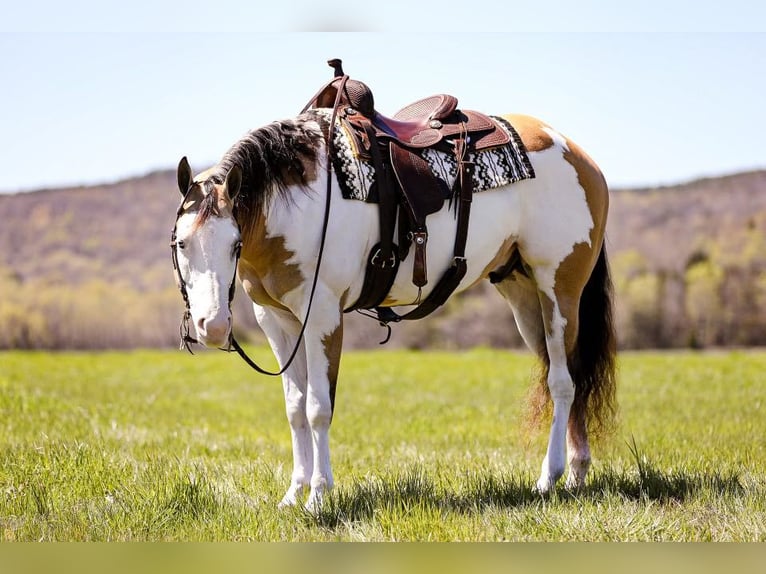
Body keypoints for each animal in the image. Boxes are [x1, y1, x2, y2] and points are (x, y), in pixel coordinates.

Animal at [172, 75, 616, 508]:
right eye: (180, 243)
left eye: (234, 244)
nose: (213, 327)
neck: (296, 200)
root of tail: (578, 154)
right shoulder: (277, 321)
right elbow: (295, 408)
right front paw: (294, 494)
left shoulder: (321, 315)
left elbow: (318, 408)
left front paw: (318, 496)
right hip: (524, 296)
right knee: (566, 373)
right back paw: (576, 472)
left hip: (559, 288)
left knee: (562, 381)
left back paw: (550, 477)